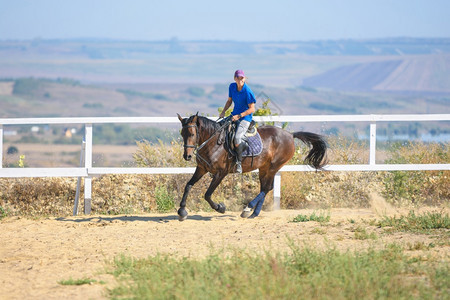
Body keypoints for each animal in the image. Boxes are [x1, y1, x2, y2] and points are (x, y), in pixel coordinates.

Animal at [176, 112, 326, 220]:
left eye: (192, 134)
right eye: (182, 134)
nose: (187, 156)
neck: (213, 143)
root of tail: (290, 135)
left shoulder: (220, 173)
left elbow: (207, 194)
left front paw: (220, 208)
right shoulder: (202, 169)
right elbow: (188, 185)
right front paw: (182, 211)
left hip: (273, 167)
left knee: (267, 188)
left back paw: (247, 209)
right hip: (264, 168)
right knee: (265, 188)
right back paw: (254, 213)